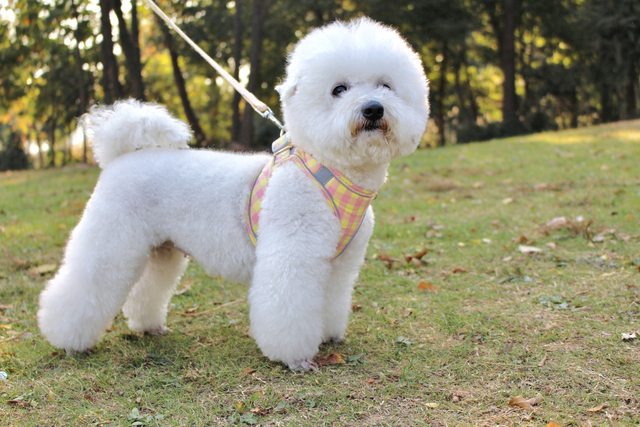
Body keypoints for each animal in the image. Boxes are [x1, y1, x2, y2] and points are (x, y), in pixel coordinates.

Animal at [38, 18, 429, 371]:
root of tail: (120, 156)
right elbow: (288, 306)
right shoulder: (293, 254)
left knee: (145, 290)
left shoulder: (339, 264)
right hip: (111, 237)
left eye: (385, 85)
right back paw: (67, 339)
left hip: (160, 248)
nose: (373, 108)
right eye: (338, 89)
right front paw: (296, 357)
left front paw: (328, 335)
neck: (332, 170)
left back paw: (148, 327)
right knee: (84, 285)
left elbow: (331, 300)